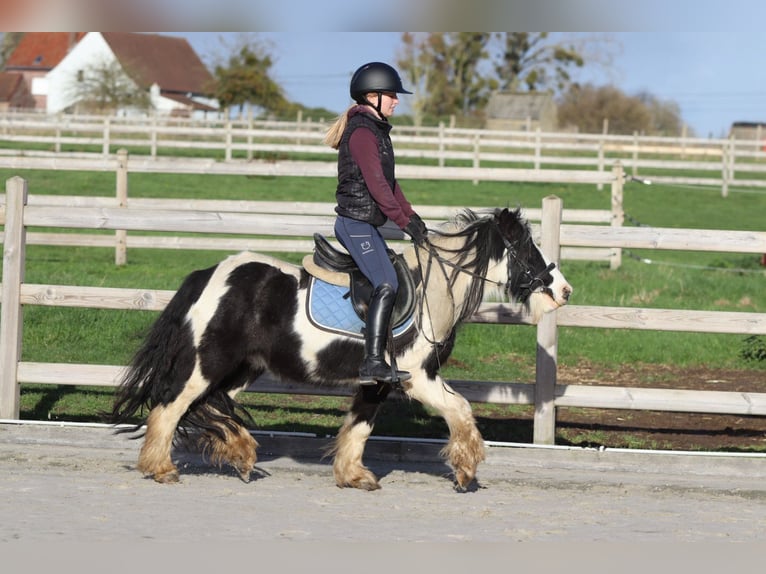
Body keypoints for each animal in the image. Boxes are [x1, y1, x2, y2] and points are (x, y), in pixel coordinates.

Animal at [110, 207, 572, 490]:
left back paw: (241, 456)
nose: (564, 291)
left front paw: (354, 476)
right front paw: (465, 470)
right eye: (527, 249)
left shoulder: (379, 382)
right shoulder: (418, 378)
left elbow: (360, 427)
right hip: (208, 363)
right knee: (169, 408)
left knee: (210, 407)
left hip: (241, 369)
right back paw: (161, 468)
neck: (432, 292)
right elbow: (460, 410)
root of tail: (208, 274)